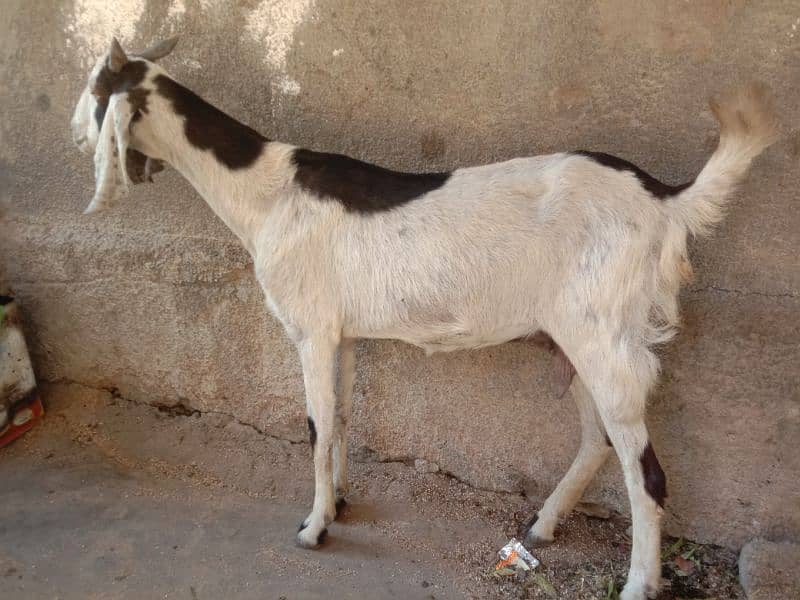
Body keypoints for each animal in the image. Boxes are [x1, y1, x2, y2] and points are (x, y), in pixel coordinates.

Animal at [72, 38, 780, 600]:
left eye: (97, 90)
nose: (74, 134)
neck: (266, 193)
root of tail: (665, 200)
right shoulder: (344, 334)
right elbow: (341, 416)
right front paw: (340, 500)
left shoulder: (311, 328)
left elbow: (315, 424)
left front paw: (313, 527)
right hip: (571, 337)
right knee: (598, 439)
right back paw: (544, 524)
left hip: (602, 332)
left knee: (647, 471)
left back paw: (636, 584)